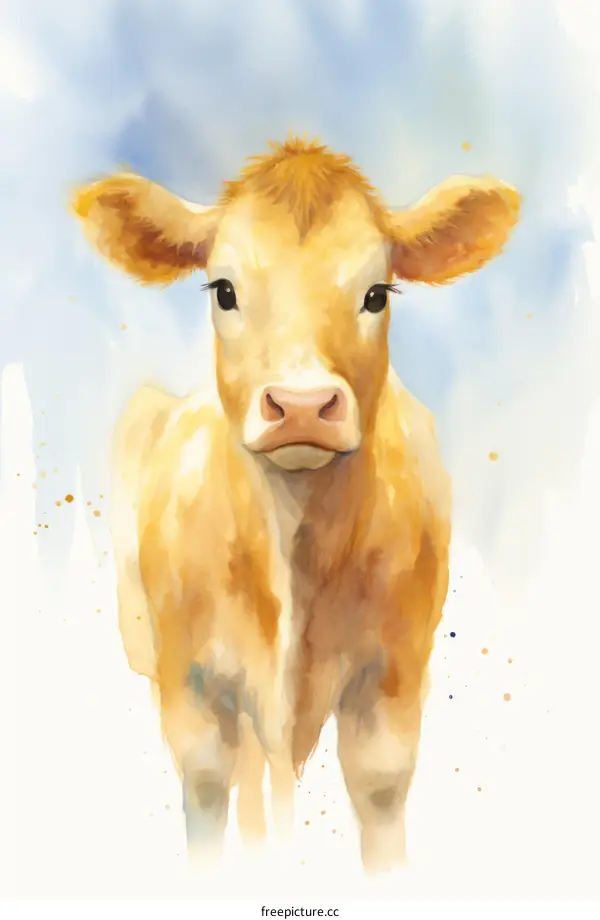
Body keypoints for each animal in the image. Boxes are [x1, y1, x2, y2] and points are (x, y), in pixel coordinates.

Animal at [72, 136, 520, 873]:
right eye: (224, 290)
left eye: (376, 293)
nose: (303, 405)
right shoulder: (191, 688)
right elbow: (206, 794)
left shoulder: (394, 679)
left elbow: (380, 793)